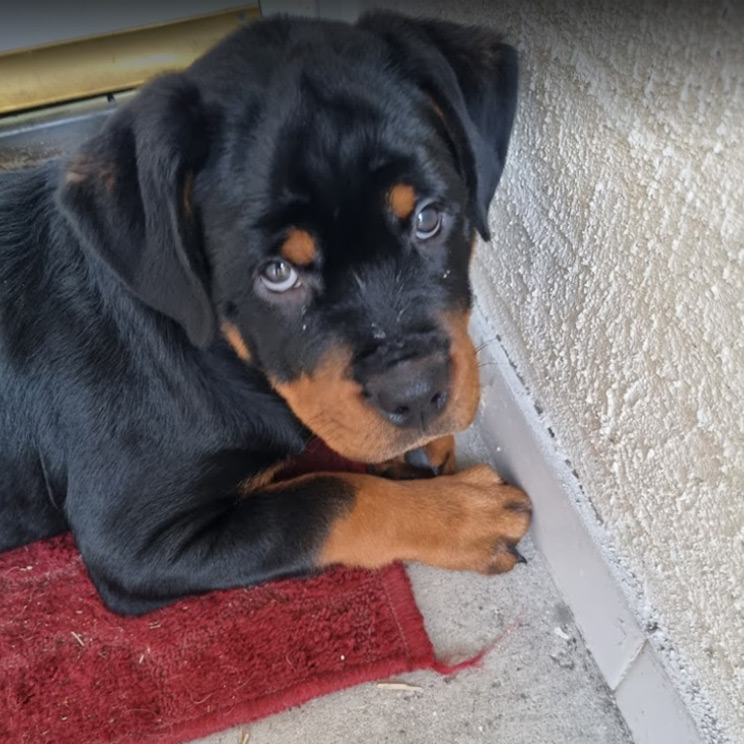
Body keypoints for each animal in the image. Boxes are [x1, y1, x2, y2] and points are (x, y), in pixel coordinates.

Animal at [0, 13, 528, 616]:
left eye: (427, 218)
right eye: (276, 273)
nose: (416, 395)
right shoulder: (133, 543)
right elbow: (326, 496)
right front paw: (461, 514)